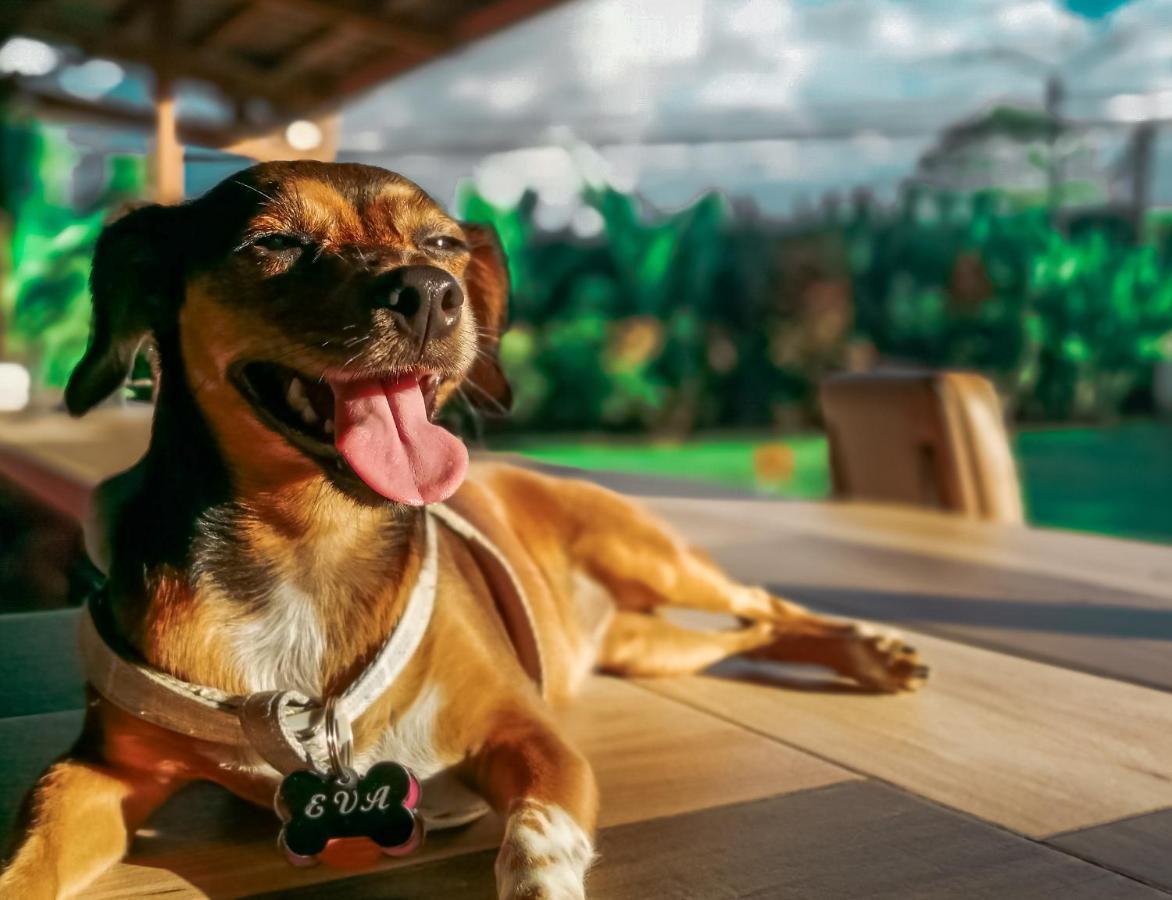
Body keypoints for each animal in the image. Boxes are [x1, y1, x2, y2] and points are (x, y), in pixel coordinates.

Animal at [4, 161, 928, 900]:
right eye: (275, 242)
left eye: (444, 242)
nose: (429, 293)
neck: (309, 544)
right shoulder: (97, 772)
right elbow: (28, 855)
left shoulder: (534, 740)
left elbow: (540, 839)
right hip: (654, 648)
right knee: (743, 635)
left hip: (651, 556)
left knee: (767, 602)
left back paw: (875, 651)